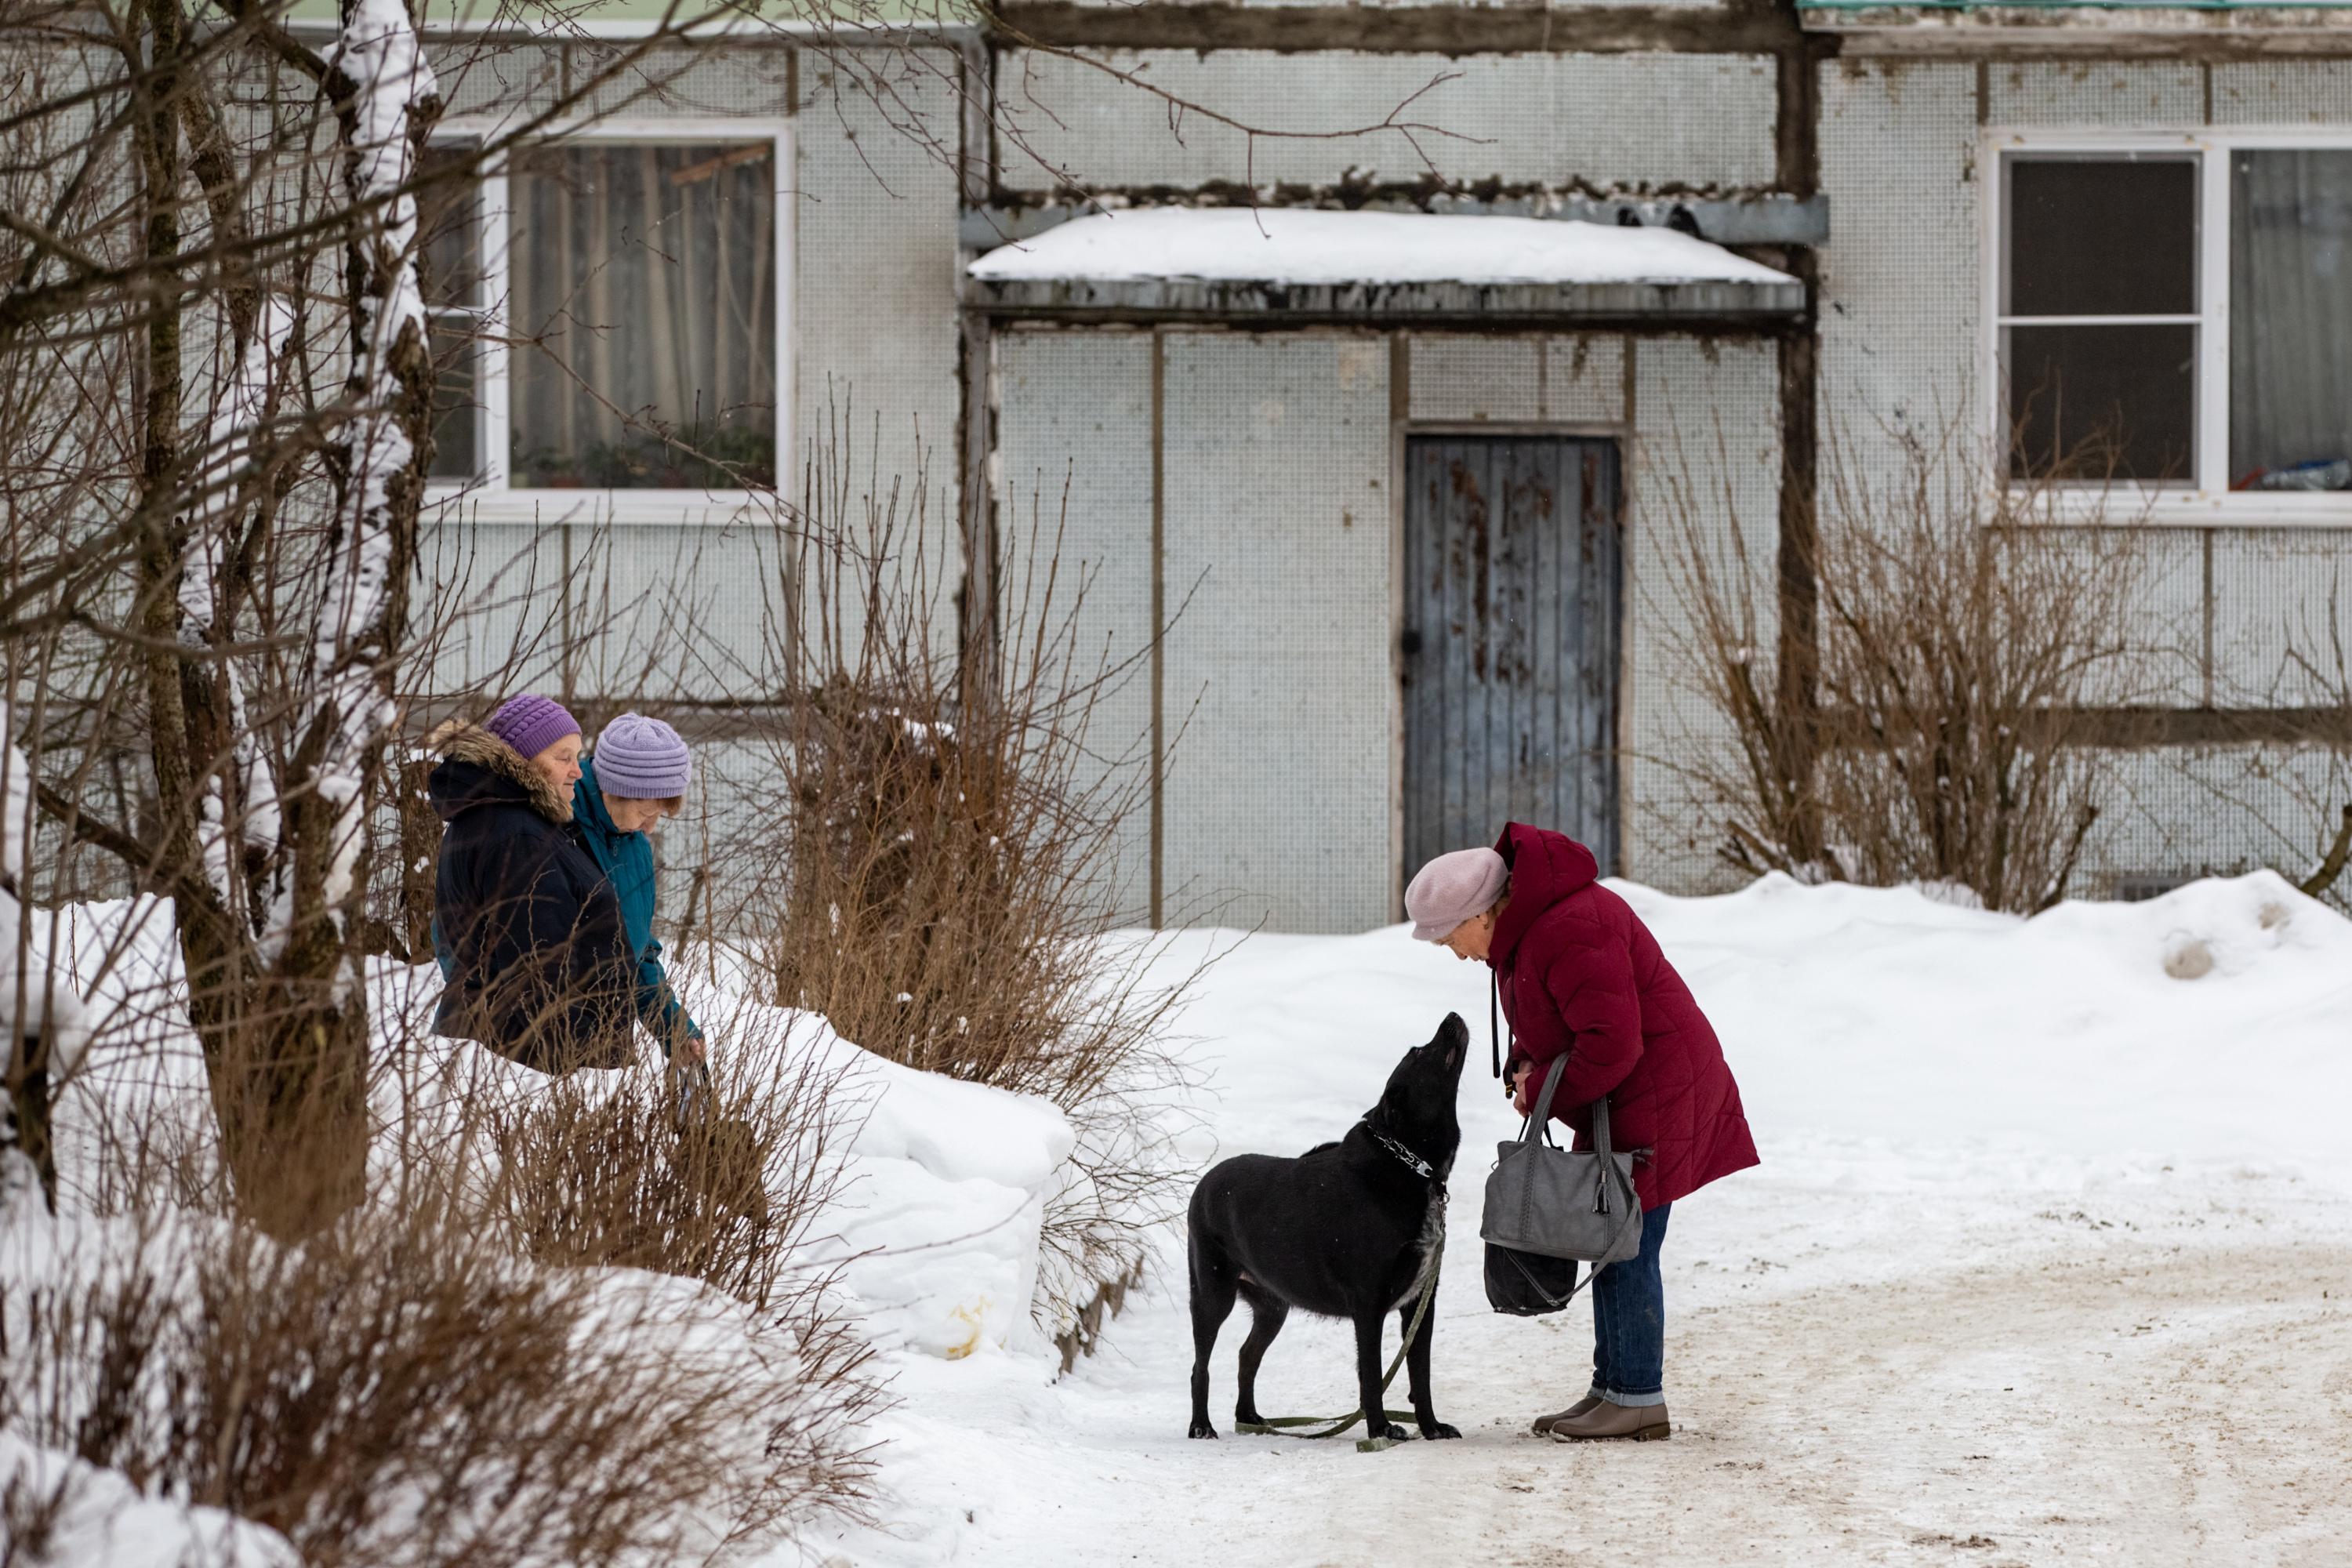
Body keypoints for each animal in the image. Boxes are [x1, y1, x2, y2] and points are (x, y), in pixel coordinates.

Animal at [1185, 1011, 1458, 1439]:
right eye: (1418, 1051)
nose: (1452, 1016)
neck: (1412, 1168)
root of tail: (1205, 1182)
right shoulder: (1369, 1303)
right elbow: (1372, 1375)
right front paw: (1381, 1430)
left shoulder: (1419, 1304)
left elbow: (1420, 1373)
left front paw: (1431, 1428)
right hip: (1212, 1292)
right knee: (1201, 1367)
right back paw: (1201, 1427)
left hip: (1272, 1305)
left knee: (1247, 1355)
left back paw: (1251, 1419)